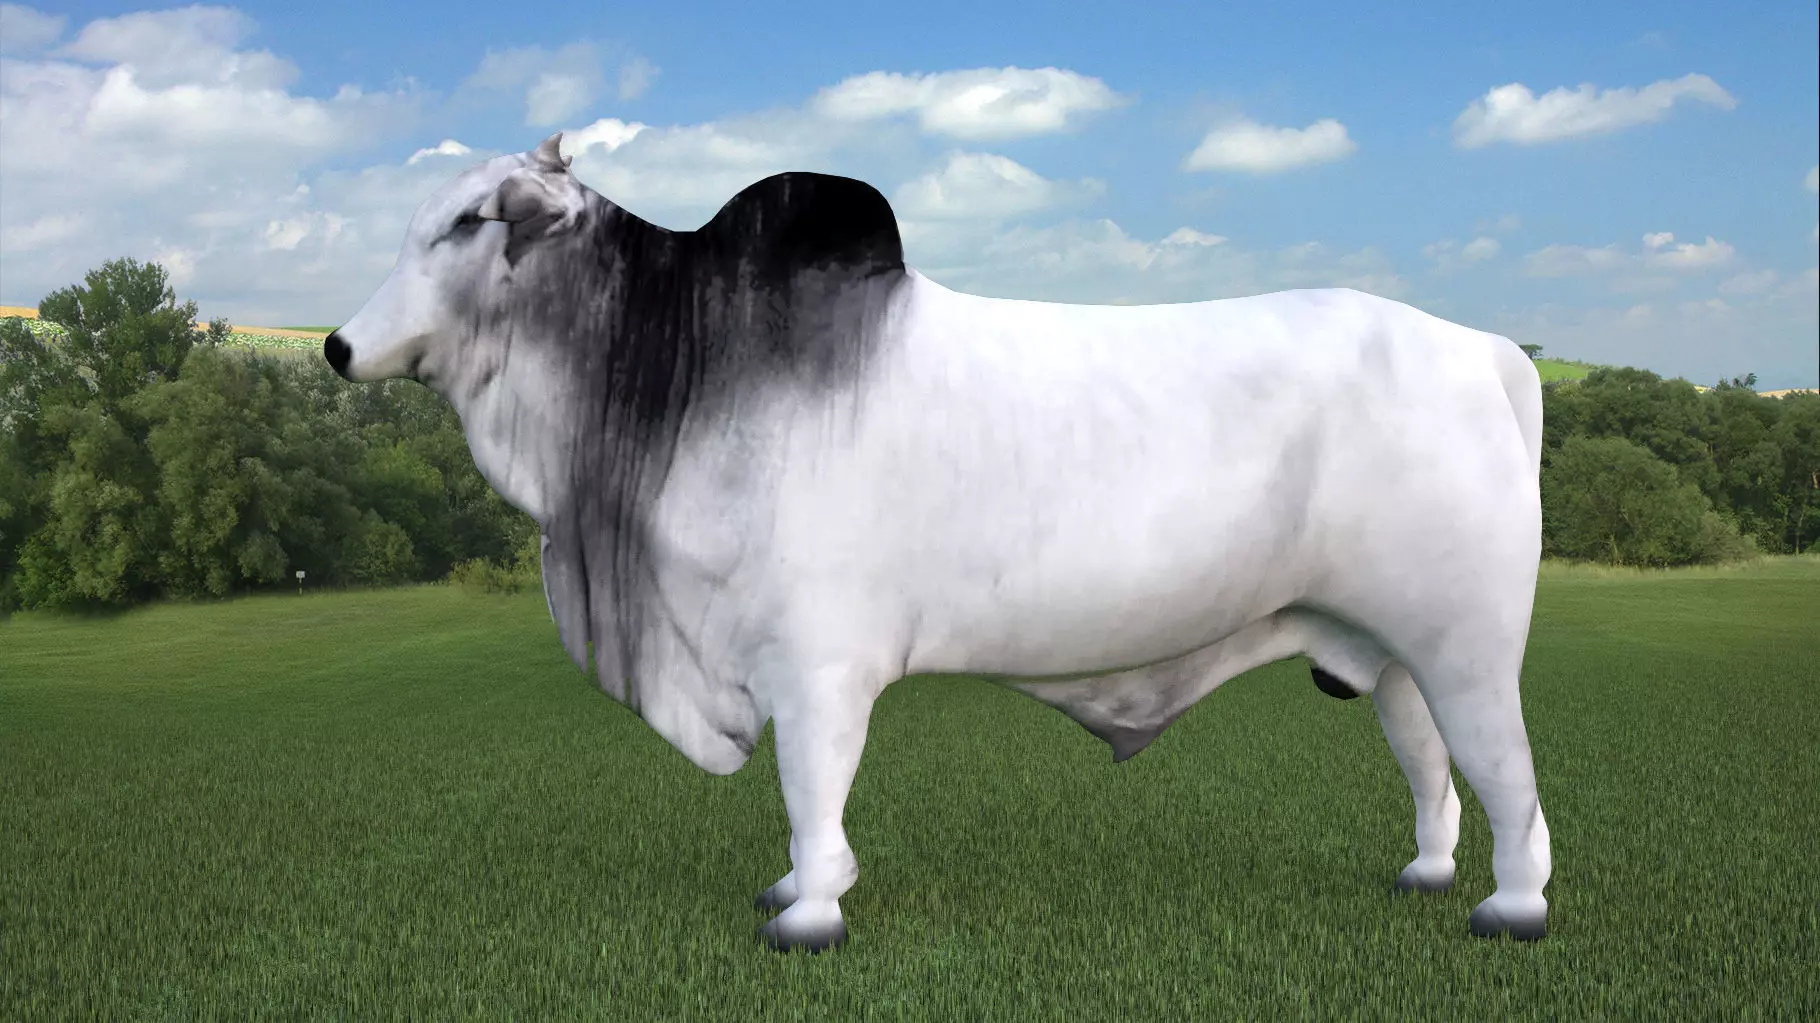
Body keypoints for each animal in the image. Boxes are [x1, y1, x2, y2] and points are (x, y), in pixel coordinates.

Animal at [324, 133, 1553, 953]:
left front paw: (810, 910)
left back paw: (1512, 905)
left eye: (462, 225)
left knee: (1507, 775)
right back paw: (1427, 872)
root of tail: (1485, 348)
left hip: (1467, 647)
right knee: (1433, 768)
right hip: (1385, 654)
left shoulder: (816, 664)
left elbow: (811, 790)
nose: (335, 345)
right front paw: (795, 891)